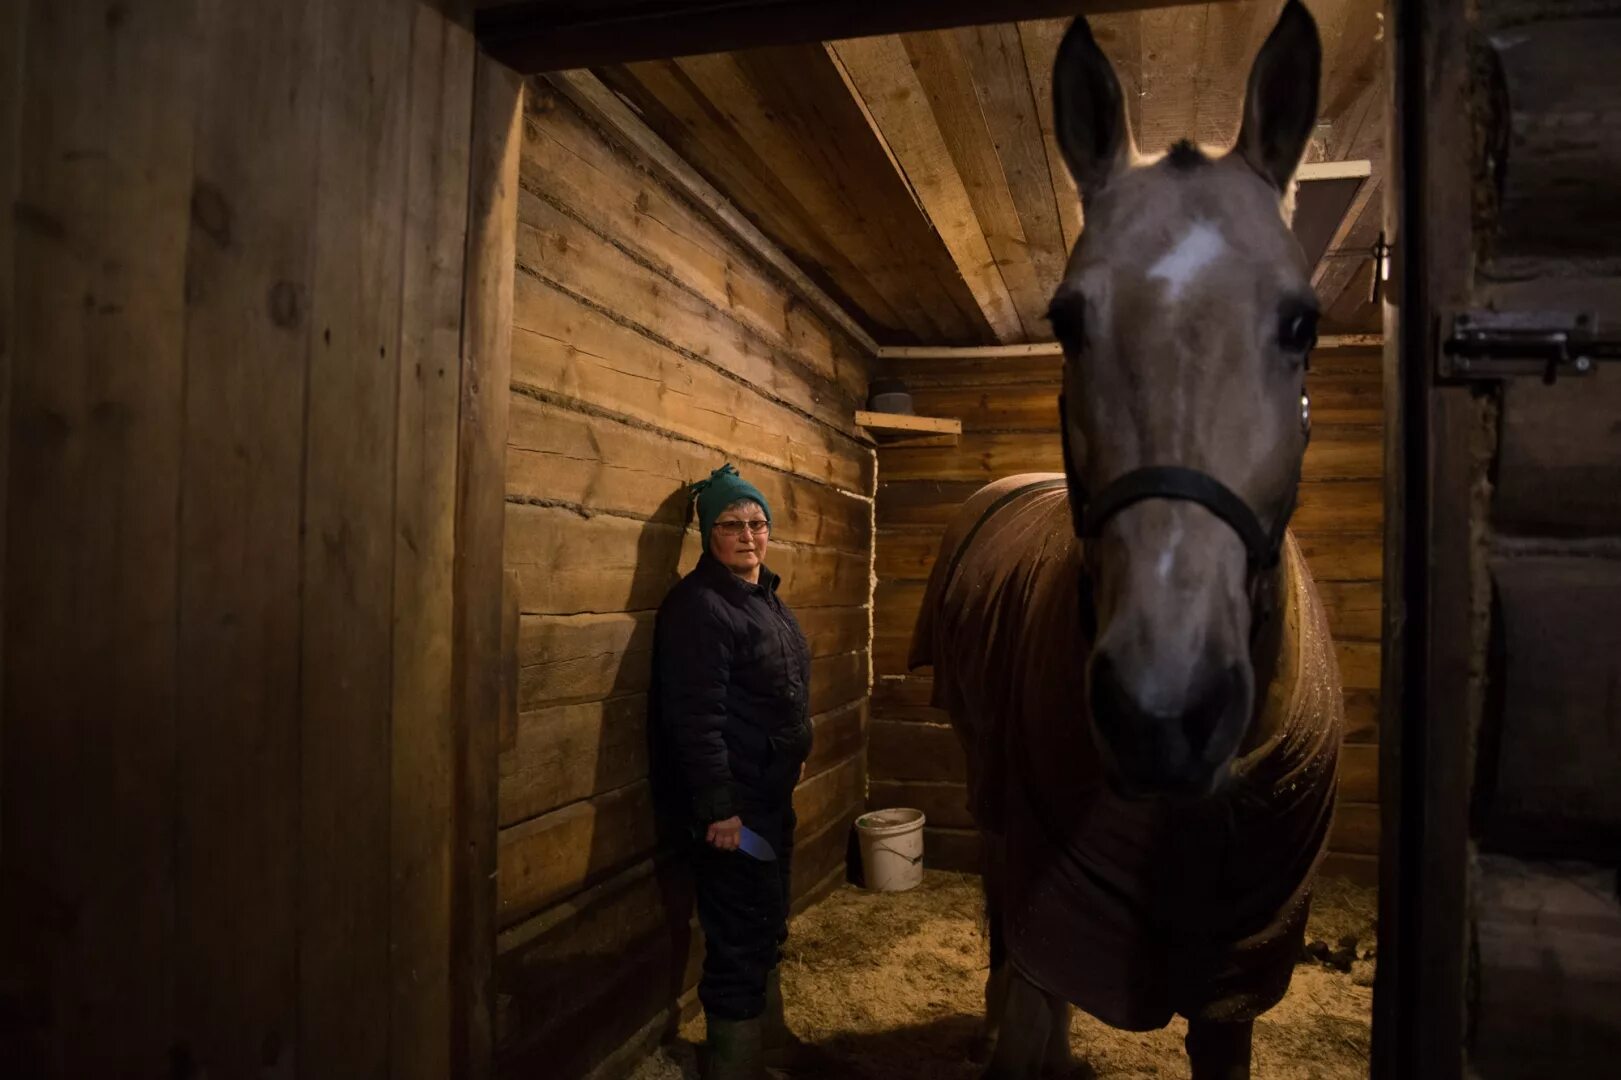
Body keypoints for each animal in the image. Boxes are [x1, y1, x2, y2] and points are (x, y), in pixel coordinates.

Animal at [914, 4, 1342, 1070]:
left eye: (1302, 323)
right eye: (1066, 321)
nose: (1162, 713)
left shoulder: (1237, 979)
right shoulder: (1052, 919)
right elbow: (1030, 993)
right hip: (988, 786)